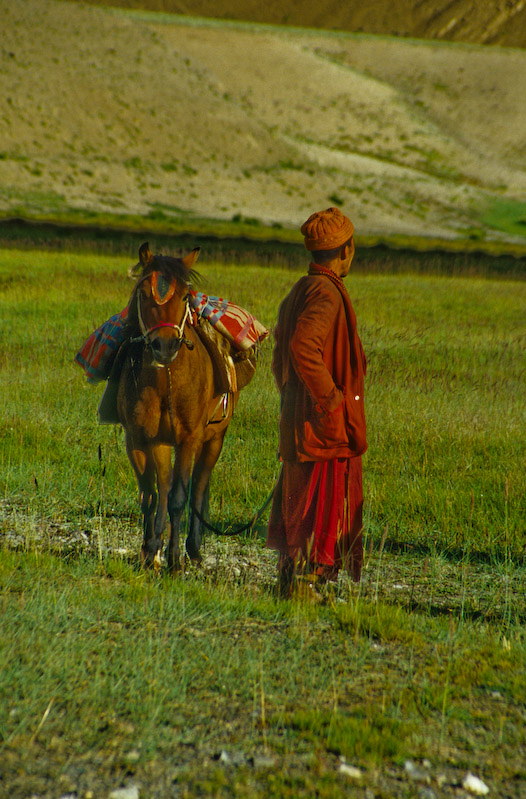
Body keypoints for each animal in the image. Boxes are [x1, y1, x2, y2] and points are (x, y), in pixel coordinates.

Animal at [118, 242, 240, 568]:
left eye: (185, 295)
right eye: (143, 292)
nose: (165, 346)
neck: (166, 383)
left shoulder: (189, 439)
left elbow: (178, 498)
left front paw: (174, 560)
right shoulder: (143, 438)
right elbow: (152, 495)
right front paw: (151, 550)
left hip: (214, 439)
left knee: (198, 487)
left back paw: (193, 549)